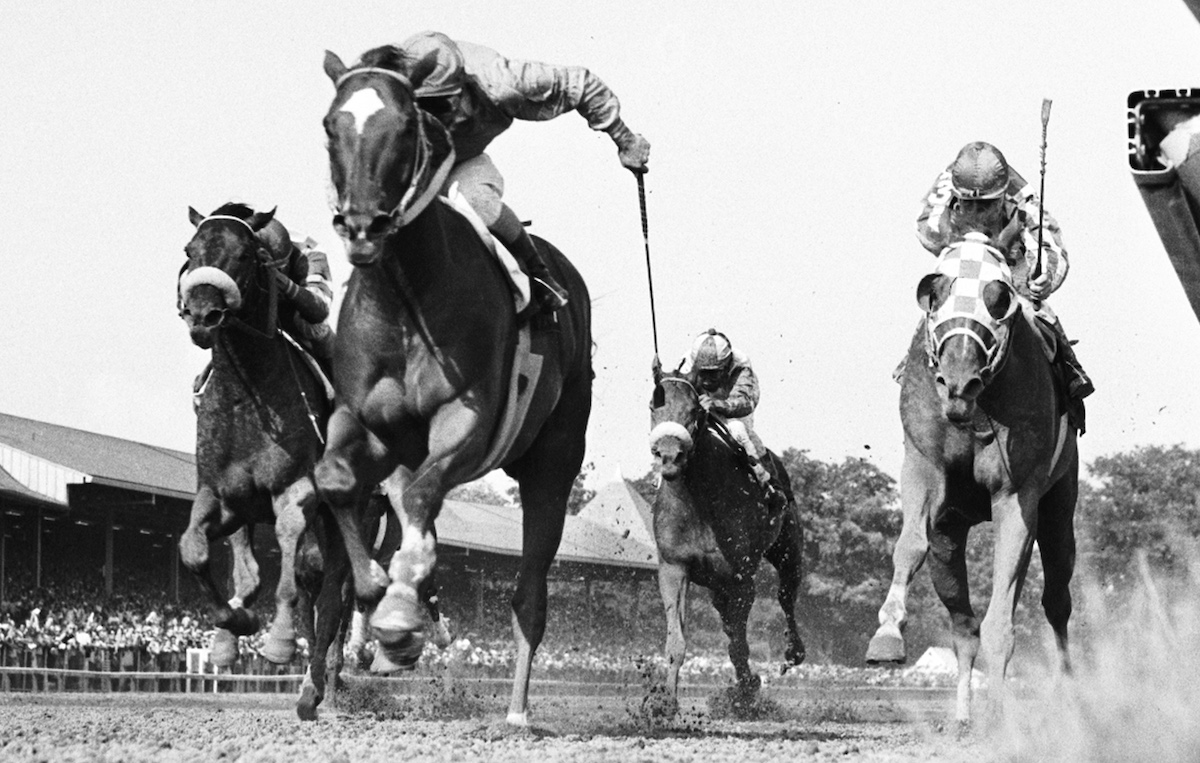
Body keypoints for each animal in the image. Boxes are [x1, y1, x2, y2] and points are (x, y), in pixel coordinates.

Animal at [176, 201, 350, 715]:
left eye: (245, 255)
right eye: (190, 250)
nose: (203, 314)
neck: (245, 394)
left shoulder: (295, 490)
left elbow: (290, 566)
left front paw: (277, 642)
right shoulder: (221, 495)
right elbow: (194, 550)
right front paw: (234, 626)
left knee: (331, 591)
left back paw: (318, 688)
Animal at [307, 44, 592, 724]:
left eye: (403, 128)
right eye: (331, 126)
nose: (363, 227)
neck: (404, 297)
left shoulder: (467, 418)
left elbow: (419, 498)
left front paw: (399, 607)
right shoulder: (363, 421)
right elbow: (336, 480)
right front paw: (381, 596)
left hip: (554, 461)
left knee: (529, 590)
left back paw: (516, 710)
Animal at [648, 367, 806, 705]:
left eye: (694, 410)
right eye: (653, 405)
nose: (669, 456)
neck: (698, 499)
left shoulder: (741, 577)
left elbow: (738, 644)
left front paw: (746, 690)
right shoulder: (673, 568)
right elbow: (677, 642)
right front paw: (665, 704)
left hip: (788, 546)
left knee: (786, 595)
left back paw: (793, 651)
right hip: (716, 586)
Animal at [864, 233, 1080, 729]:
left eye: (999, 297)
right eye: (934, 291)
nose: (958, 383)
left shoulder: (1017, 495)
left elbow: (1004, 611)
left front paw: (1001, 716)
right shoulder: (923, 468)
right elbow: (909, 546)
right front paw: (887, 634)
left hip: (1061, 503)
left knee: (1056, 599)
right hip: (951, 533)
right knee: (963, 626)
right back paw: (963, 715)